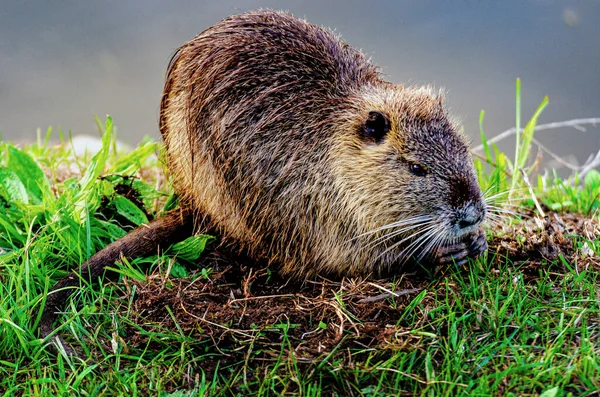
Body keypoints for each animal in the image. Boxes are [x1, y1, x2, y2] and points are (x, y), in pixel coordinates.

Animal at [38, 8, 488, 350]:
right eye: (416, 168)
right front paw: (442, 251)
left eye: (463, 150)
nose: (472, 213)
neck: (324, 142)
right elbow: (347, 261)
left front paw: (477, 242)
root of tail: (188, 203)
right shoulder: (302, 204)